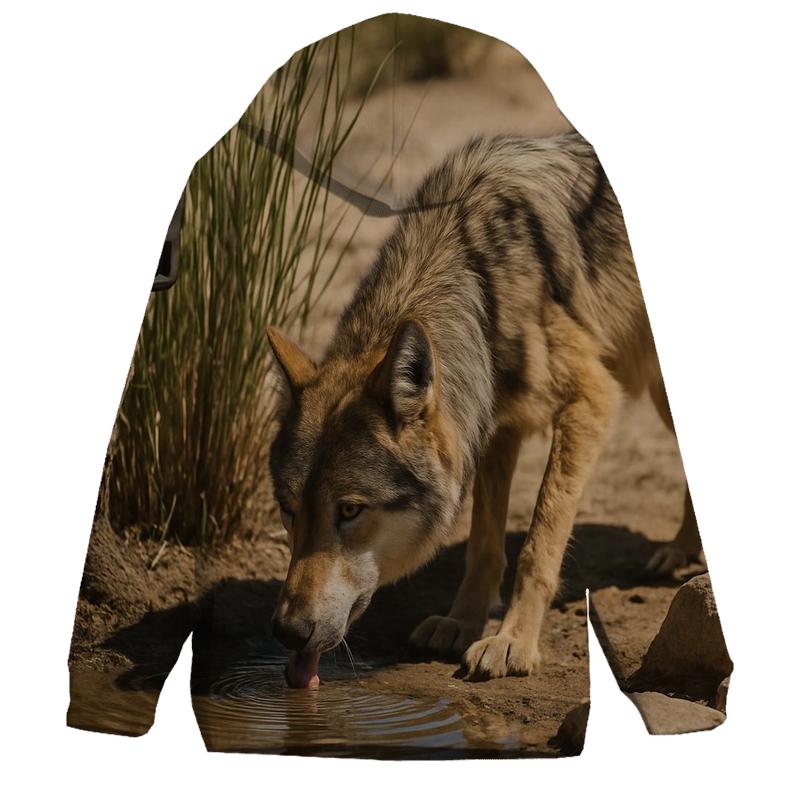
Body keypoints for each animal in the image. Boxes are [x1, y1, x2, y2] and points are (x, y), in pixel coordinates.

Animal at [266, 131, 702, 687]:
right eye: (288, 509)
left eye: (349, 511)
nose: (286, 631)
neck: (481, 284)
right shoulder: (496, 424)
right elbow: (484, 543)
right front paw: (462, 622)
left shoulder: (590, 399)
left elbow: (539, 541)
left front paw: (513, 641)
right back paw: (681, 550)